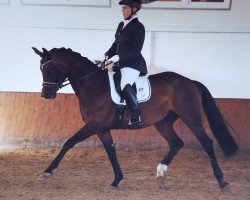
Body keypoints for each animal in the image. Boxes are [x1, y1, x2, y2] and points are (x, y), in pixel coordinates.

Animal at [32, 46, 238, 189]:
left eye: (50, 70)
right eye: (41, 70)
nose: (46, 94)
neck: (92, 85)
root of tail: (190, 82)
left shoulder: (94, 125)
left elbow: (69, 142)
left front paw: (47, 171)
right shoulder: (102, 128)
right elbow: (111, 152)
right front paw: (116, 181)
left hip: (190, 116)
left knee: (207, 142)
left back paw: (221, 181)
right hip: (163, 122)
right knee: (176, 143)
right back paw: (161, 172)